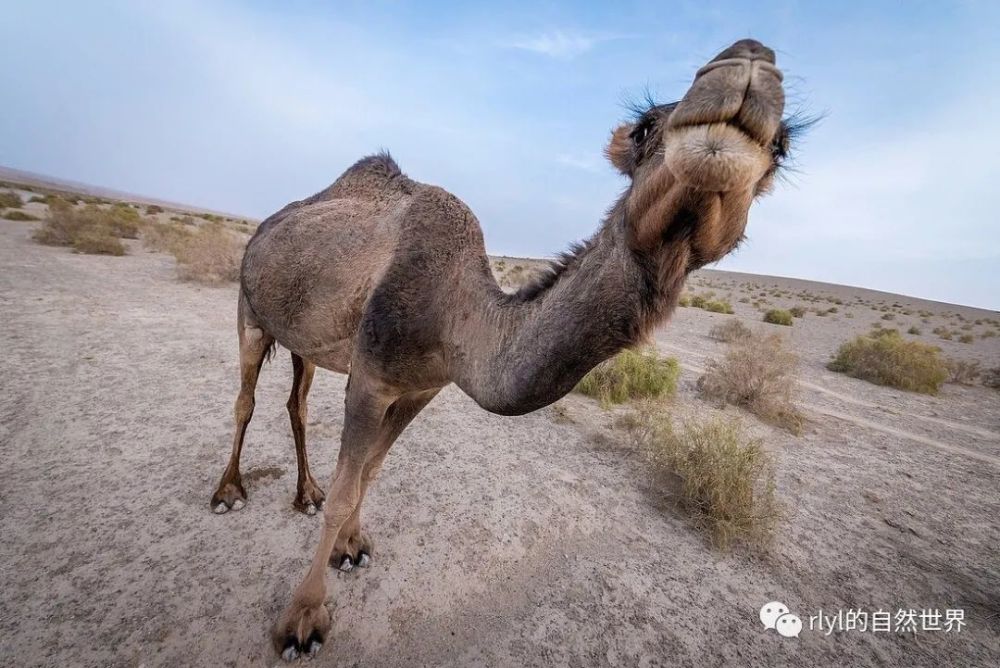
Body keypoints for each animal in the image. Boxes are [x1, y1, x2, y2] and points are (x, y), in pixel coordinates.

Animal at [209, 39, 796, 660]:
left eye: (782, 147)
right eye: (642, 129)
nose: (747, 63)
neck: (455, 314)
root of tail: (266, 225)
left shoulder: (423, 387)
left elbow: (370, 471)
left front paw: (352, 546)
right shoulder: (370, 378)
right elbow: (351, 485)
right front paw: (303, 619)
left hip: (303, 336)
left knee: (296, 403)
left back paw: (306, 494)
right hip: (250, 309)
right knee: (245, 399)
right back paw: (228, 492)